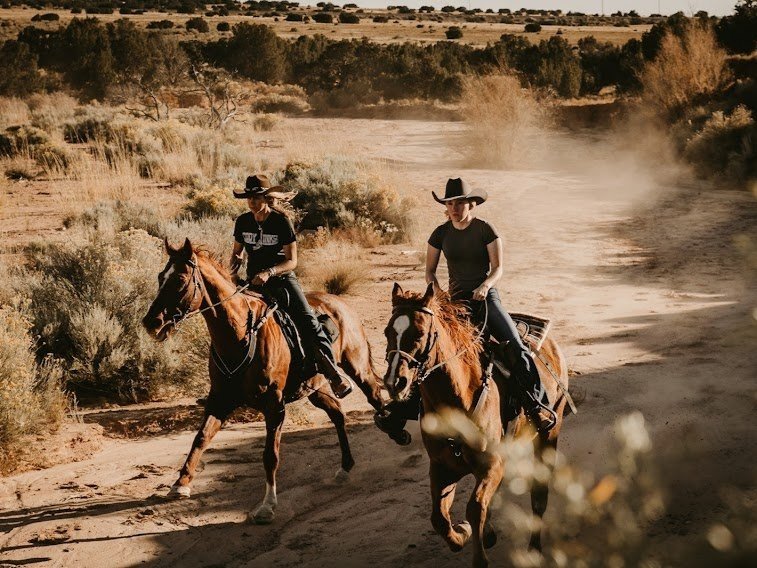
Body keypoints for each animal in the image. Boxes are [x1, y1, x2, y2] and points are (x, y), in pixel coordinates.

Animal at [140, 239, 384, 524]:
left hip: (357, 367)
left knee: (374, 395)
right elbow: (201, 437)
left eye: (179, 279)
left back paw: (397, 434)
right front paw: (181, 483)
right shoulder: (220, 399)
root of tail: (341, 302)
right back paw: (345, 467)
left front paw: (267, 505)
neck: (238, 335)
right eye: (160, 277)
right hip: (316, 387)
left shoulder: (274, 406)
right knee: (337, 414)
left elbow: (270, 455)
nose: (151, 322)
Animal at [384, 284, 568, 568]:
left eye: (420, 334)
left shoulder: (491, 465)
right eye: (387, 332)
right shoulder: (442, 467)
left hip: (548, 435)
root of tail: (552, 346)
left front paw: (475, 545)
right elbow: (439, 517)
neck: (458, 398)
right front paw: (462, 533)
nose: (395, 382)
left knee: (539, 496)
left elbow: (475, 507)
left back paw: (534, 548)